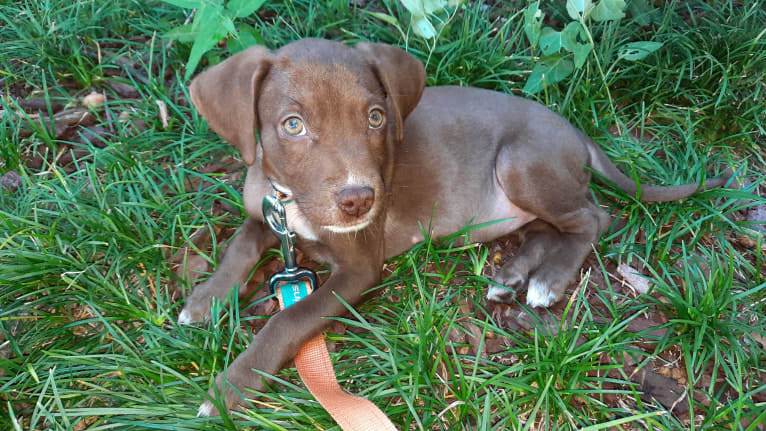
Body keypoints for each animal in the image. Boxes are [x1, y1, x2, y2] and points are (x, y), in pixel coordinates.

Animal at [180, 38, 732, 416]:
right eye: (292, 125)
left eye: (376, 117)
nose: (360, 200)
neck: (293, 202)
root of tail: (573, 130)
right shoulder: (267, 212)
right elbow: (241, 245)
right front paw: (205, 299)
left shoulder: (359, 268)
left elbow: (289, 318)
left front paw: (231, 386)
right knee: (547, 229)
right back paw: (513, 277)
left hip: (521, 162)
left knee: (594, 216)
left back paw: (548, 282)